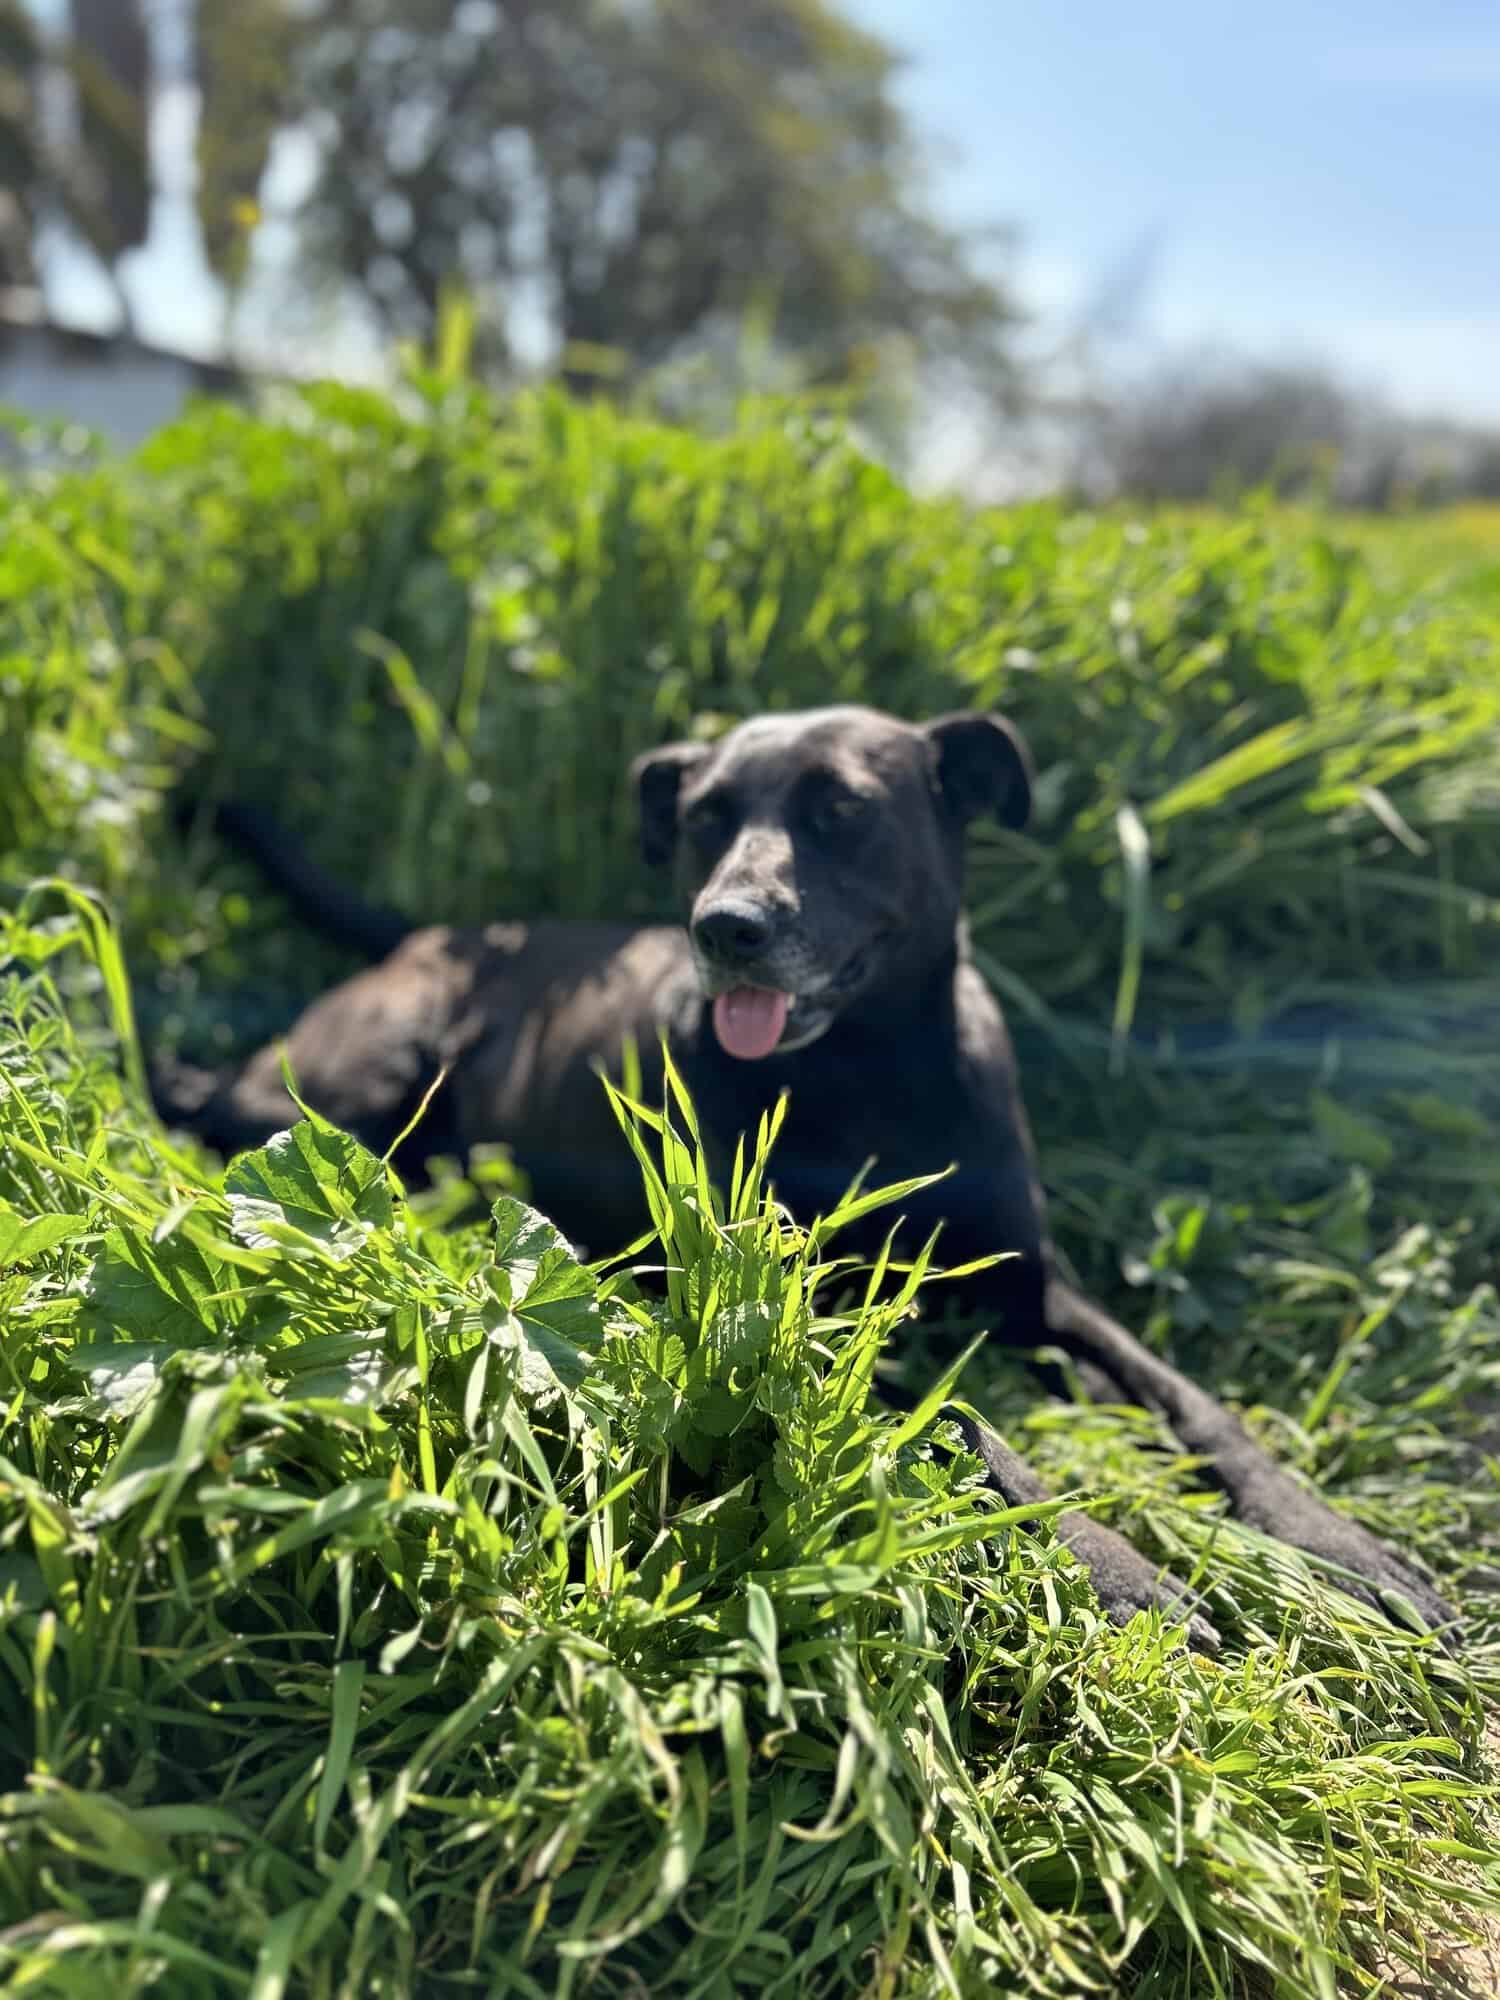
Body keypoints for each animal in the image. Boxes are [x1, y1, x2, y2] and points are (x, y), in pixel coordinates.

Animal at [162, 712, 1456, 1648]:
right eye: (704, 816)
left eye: (842, 811)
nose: (724, 926)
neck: (868, 1078)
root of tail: (441, 928)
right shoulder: (779, 1311)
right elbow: (975, 1422)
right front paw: (1123, 1568)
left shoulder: (1038, 1286)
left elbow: (1197, 1403)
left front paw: (1342, 1546)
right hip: (362, 1076)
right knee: (229, 1102)